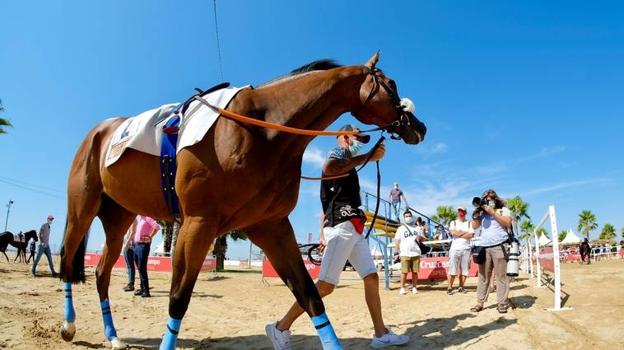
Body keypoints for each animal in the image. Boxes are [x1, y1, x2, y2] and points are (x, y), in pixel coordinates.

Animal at [58, 52, 426, 350]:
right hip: (82, 209)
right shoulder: (197, 224)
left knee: (102, 272)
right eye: (391, 85)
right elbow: (178, 299)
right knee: (66, 259)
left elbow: (310, 295)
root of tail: (99, 131)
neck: (261, 130)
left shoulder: (270, 226)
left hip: (118, 217)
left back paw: (113, 335)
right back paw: (68, 325)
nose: (418, 126)